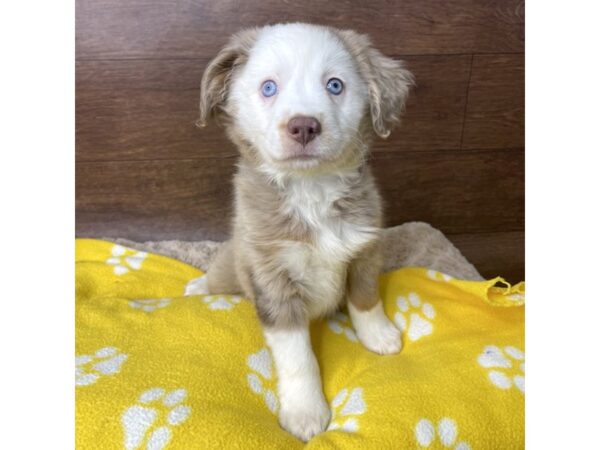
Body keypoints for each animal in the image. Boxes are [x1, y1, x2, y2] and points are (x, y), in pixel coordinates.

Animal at [199, 22, 414, 442]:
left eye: (335, 85)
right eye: (269, 87)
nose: (303, 126)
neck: (311, 189)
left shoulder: (365, 248)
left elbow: (366, 298)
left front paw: (378, 335)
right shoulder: (272, 278)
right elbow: (298, 357)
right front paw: (305, 412)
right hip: (231, 266)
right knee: (214, 278)